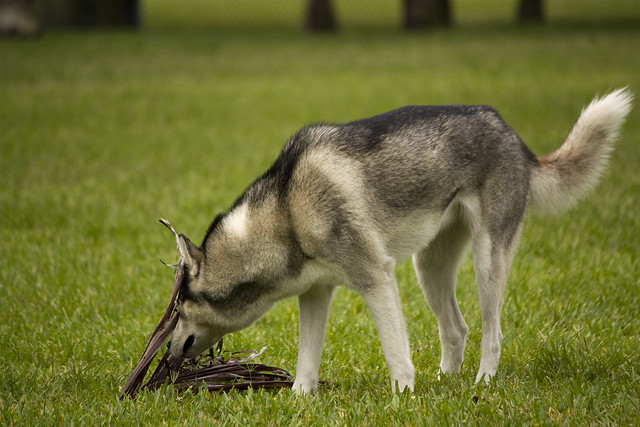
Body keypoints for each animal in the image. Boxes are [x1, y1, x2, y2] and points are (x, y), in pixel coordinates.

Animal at [168, 90, 632, 394]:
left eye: (178, 309)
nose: (167, 358)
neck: (285, 212)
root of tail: (512, 136)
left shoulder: (377, 279)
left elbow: (396, 353)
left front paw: (404, 399)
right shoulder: (316, 293)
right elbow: (306, 360)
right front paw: (300, 399)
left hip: (486, 264)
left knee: (492, 333)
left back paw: (481, 382)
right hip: (429, 269)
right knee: (456, 329)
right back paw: (446, 381)